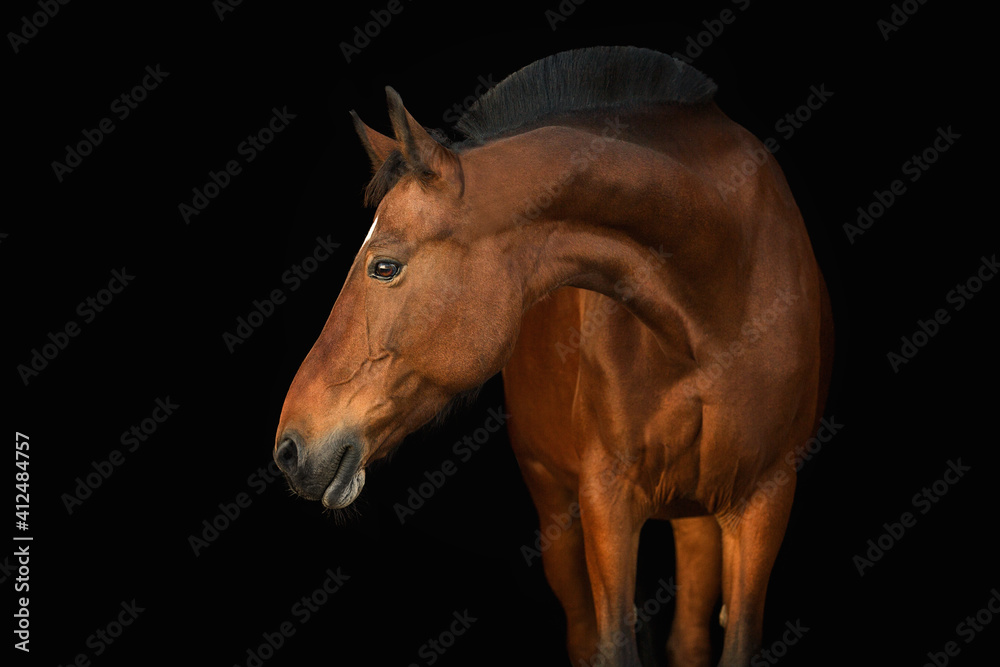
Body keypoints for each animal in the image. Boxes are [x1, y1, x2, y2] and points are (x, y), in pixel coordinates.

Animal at [275, 46, 833, 667]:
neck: (719, 293)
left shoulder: (766, 500)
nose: (290, 448)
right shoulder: (606, 501)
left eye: (384, 266)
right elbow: (613, 643)